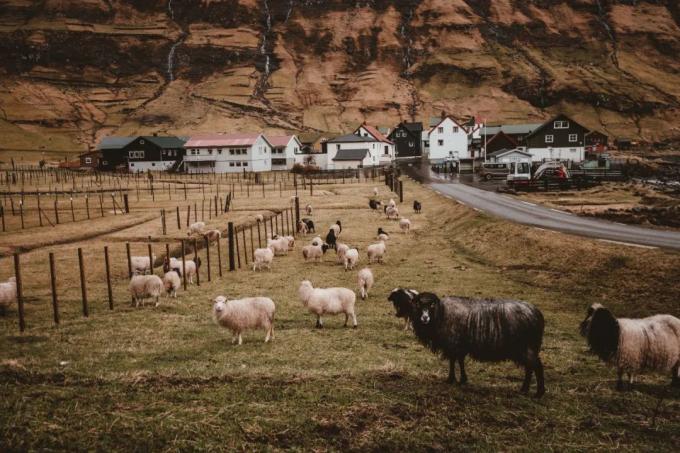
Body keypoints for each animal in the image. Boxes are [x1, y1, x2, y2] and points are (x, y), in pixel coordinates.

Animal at [410, 294, 548, 396]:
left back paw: (539, 393)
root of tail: (536, 313)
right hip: (527, 348)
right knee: (530, 368)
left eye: (431, 305)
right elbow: (460, 361)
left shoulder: (453, 344)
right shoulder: (460, 346)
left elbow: (452, 362)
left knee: (537, 366)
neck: (442, 313)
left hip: (525, 347)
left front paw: (450, 379)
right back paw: (524, 389)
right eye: (418, 305)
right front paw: (462, 379)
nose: (425, 318)